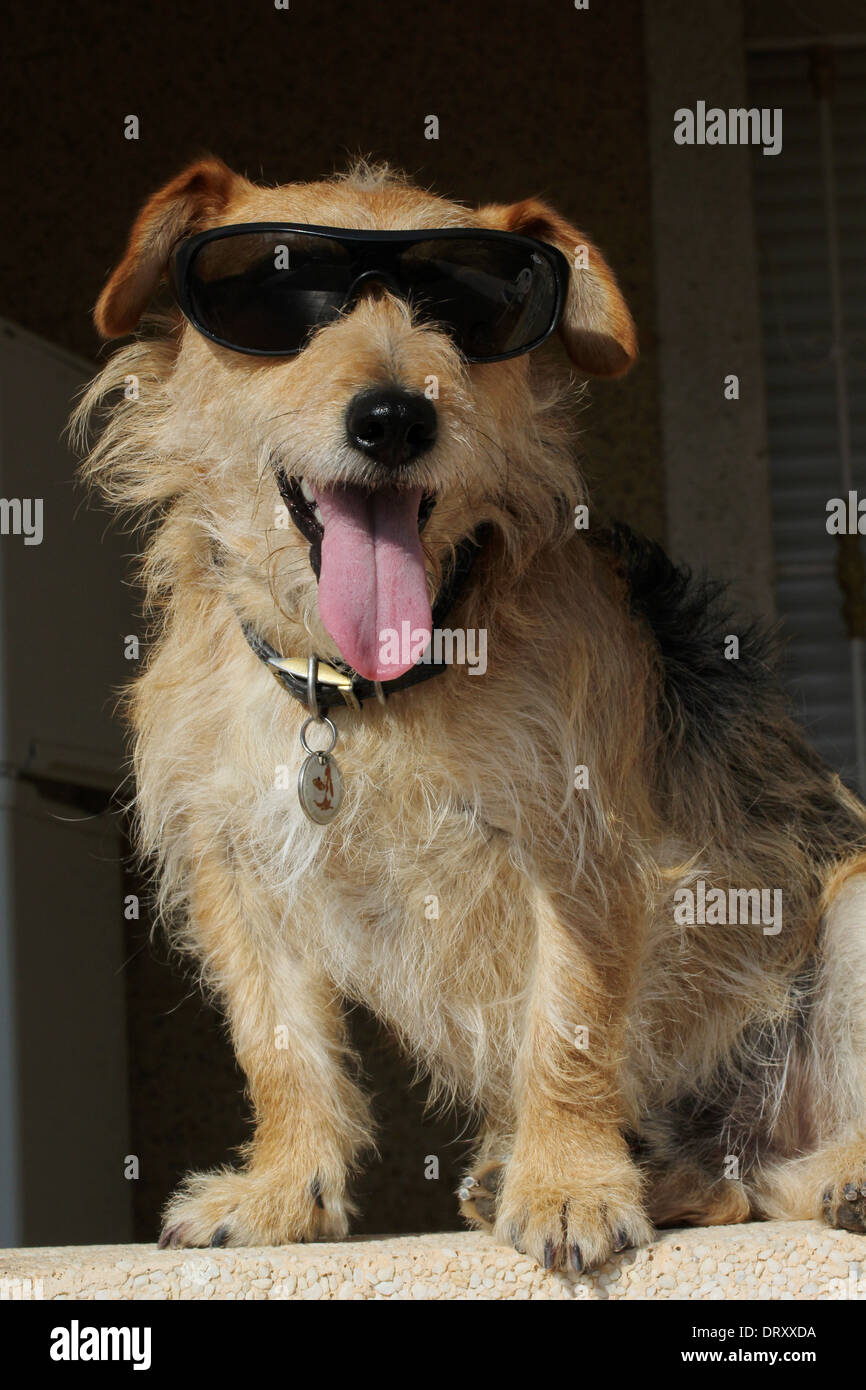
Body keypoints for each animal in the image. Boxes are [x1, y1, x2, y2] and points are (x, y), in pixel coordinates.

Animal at [72, 154, 866, 1273]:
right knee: (736, 1190)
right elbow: (278, 1046)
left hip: (851, 905)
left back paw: (837, 1175)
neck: (358, 691)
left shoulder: (579, 852)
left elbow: (567, 1026)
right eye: (279, 289)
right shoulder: (234, 861)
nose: (396, 418)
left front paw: (567, 1184)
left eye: (469, 304)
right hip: (740, 1157)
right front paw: (282, 1195)